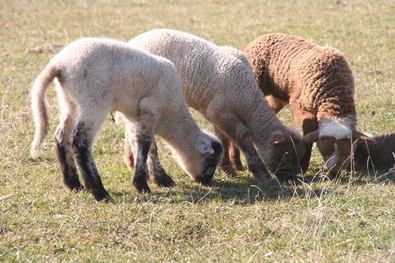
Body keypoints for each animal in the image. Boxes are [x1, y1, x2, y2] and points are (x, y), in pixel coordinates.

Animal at [30, 37, 223, 202]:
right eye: (211, 161)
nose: (206, 181)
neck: (171, 116)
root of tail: (59, 64)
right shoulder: (150, 110)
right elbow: (144, 145)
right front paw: (142, 185)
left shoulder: (136, 117)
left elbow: (146, 145)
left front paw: (157, 178)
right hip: (94, 99)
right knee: (79, 141)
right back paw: (99, 192)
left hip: (69, 101)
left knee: (61, 136)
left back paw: (73, 184)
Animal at [127, 27, 310, 183]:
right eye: (288, 155)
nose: (291, 178)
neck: (246, 97)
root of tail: (135, 40)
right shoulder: (220, 111)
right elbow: (242, 136)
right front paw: (260, 174)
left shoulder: (216, 112)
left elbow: (222, 137)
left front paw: (227, 169)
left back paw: (131, 160)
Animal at [232, 33, 378, 177]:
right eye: (324, 151)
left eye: (348, 152)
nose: (334, 173)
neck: (334, 95)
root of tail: (262, 37)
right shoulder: (300, 105)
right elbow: (309, 131)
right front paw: (303, 165)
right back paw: (236, 164)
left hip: (276, 96)